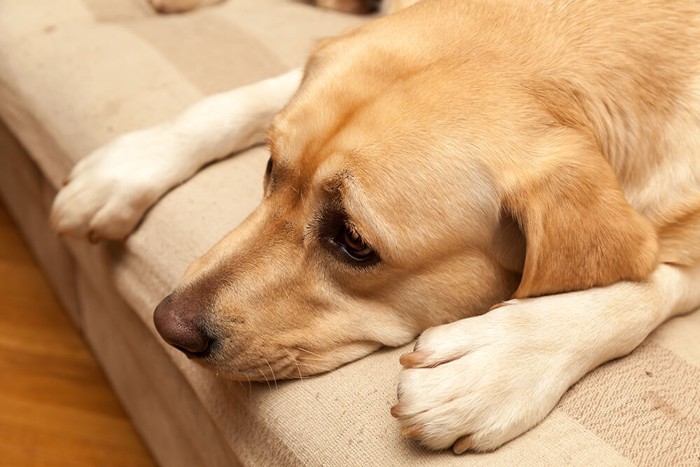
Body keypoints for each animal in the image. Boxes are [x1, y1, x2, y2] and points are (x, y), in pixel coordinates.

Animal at [50, 0, 700, 456]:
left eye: (354, 242)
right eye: (269, 168)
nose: (167, 325)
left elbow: (646, 286)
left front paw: (493, 364)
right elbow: (248, 97)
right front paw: (133, 162)